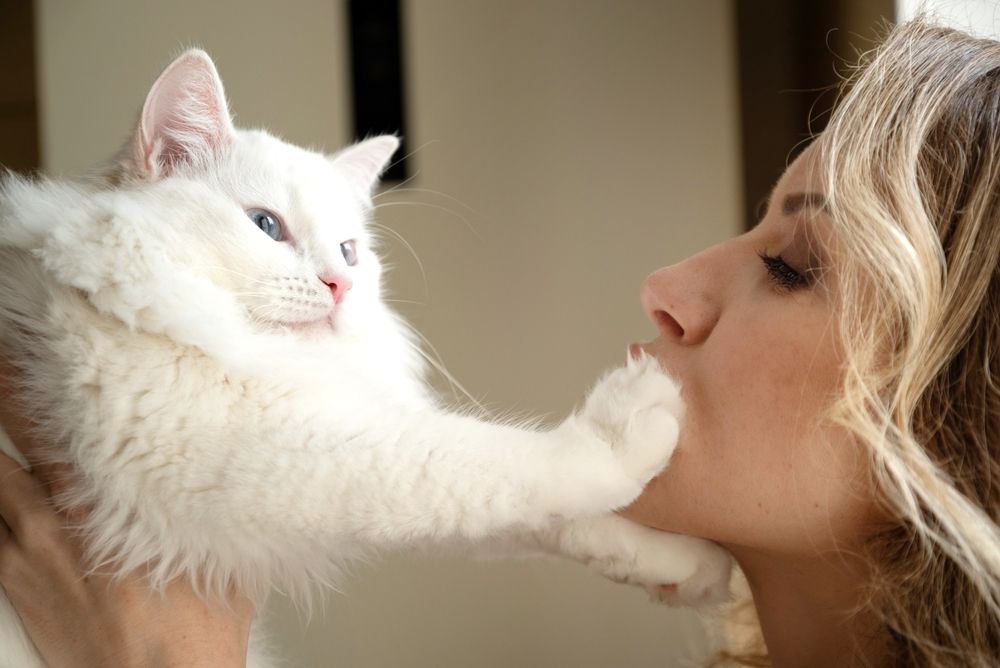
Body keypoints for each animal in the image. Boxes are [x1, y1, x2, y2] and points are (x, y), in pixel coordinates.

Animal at [0, 49, 732, 664]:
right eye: (265, 226)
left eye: (350, 252)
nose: (341, 286)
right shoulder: (260, 450)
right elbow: (514, 460)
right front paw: (632, 423)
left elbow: (548, 514)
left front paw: (688, 567)